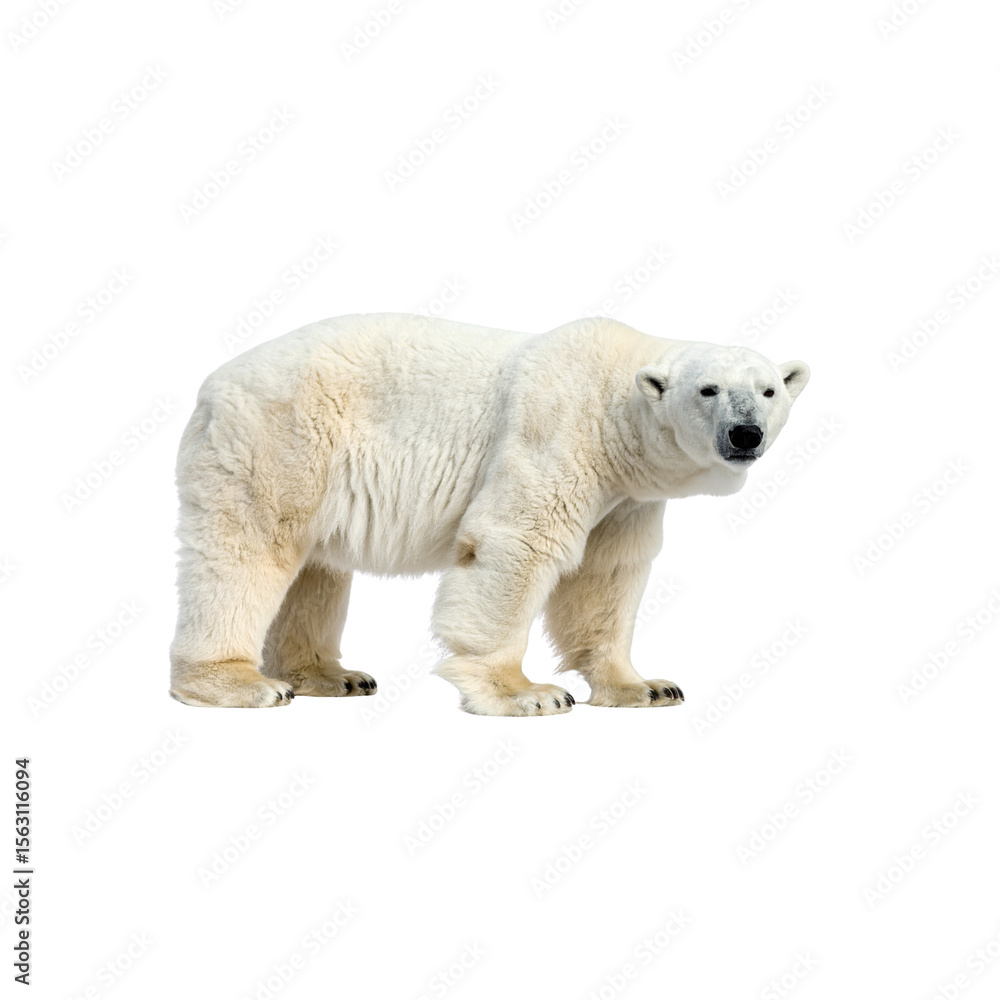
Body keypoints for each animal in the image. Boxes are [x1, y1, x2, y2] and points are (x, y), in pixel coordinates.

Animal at [169, 313, 809, 715]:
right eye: (708, 390)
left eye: (769, 390)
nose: (745, 433)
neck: (615, 415)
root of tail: (209, 385)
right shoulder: (556, 433)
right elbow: (517, 543)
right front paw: (529, 693)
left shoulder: (626, 497)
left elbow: (606, 575)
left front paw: (645, 686)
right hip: (280, 438)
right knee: (248, 550)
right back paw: (241, 683)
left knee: (316, 568)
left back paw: (333, 675)